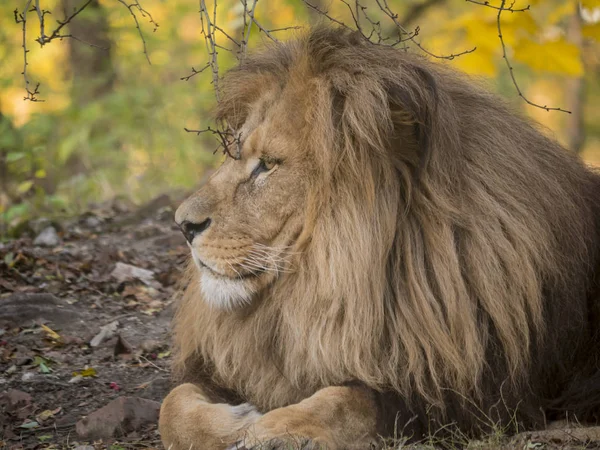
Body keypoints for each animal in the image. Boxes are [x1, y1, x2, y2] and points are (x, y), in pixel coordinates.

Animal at [159, 28, 600, 450]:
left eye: (267, 165)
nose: (183, 225)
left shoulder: (472, 398)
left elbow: (353, 399)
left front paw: (275, 430)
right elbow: (173, 404)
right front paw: (237, 420)